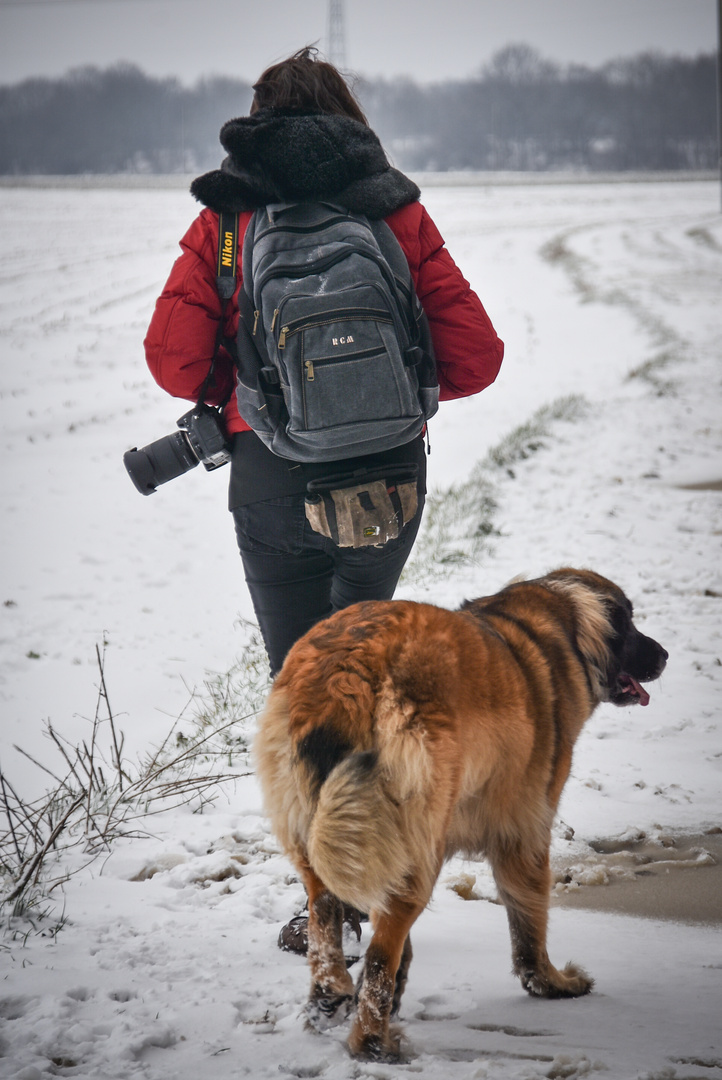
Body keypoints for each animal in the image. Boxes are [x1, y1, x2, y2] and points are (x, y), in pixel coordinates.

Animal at [253, 570, 664, 1058]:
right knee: (378, 952)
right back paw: (372, 1042)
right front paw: (551, 983)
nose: (664, 655)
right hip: (414, 842)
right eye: (629, 623)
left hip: (327, 827)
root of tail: (348, 668)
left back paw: (329, 997)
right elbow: (530, 919)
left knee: (324, 913)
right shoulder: (526, 827)